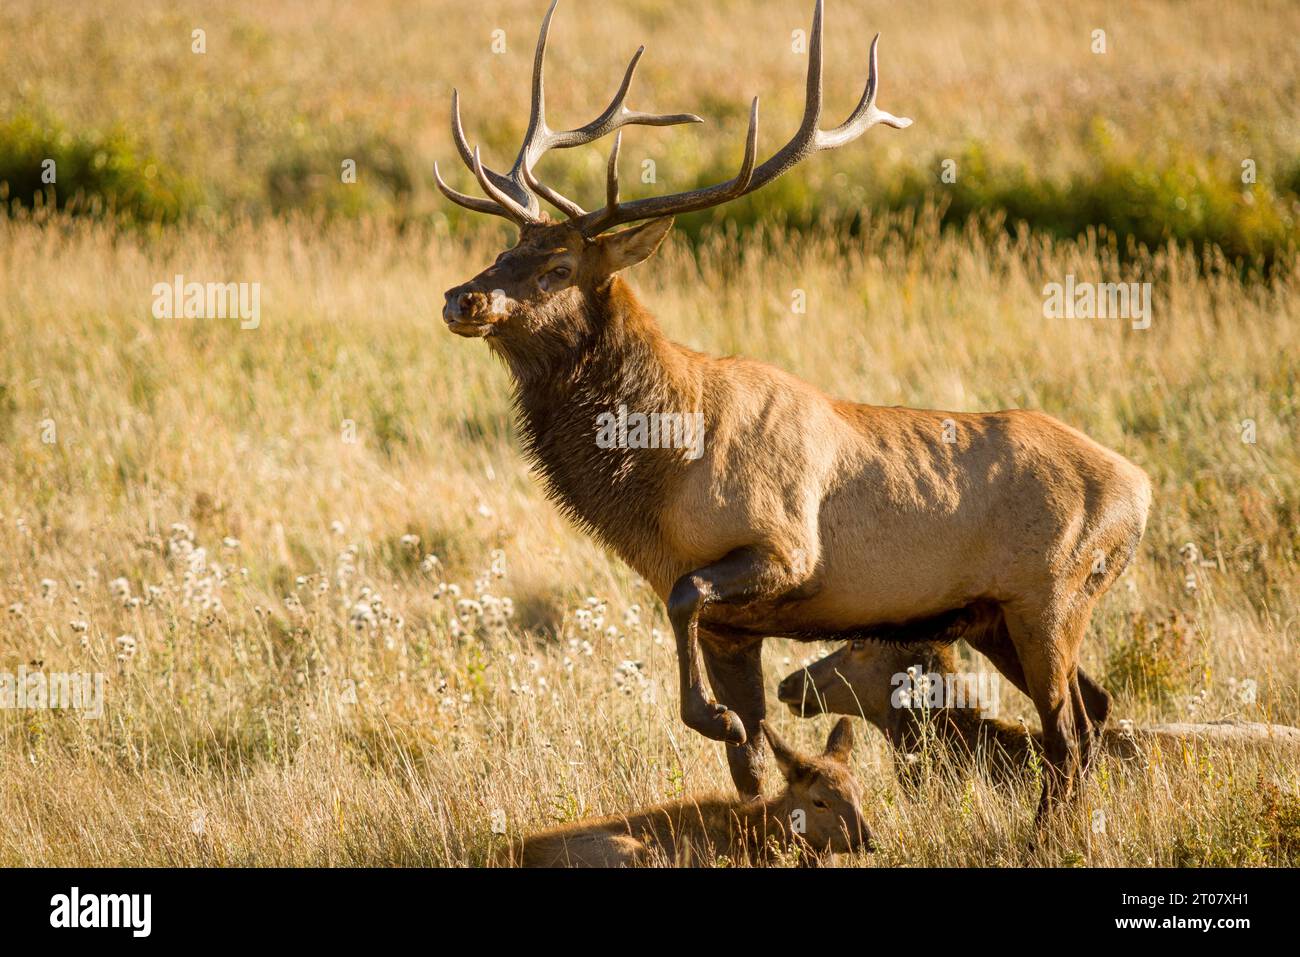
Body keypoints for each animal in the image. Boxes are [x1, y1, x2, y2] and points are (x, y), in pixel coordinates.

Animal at [435, 0, 1152, 821]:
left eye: (558, 267)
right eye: (504, 251)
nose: (463, 298)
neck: (662, 471)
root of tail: (1142, 488)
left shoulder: (784, 549)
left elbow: (689, 613)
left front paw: (710, 714)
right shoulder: (731, 629)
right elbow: (748, 763)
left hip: (1052, 595)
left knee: (1068, 730)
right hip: (999, 615)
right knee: (1094, 709)